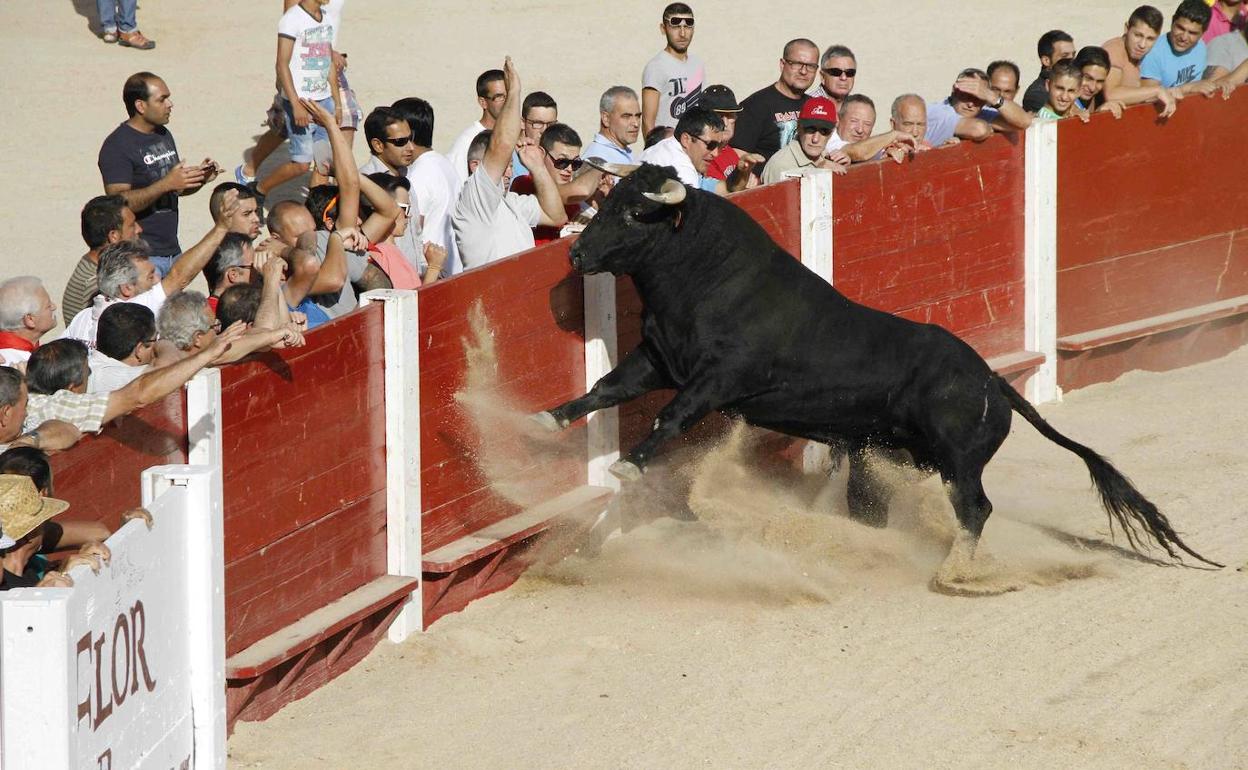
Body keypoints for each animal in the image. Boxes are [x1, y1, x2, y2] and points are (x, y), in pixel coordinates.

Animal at [531, 162, 1213, 574]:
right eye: (605, 203)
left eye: (631, 213)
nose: (575, 253)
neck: (706, 278)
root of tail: (990, 379)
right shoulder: (657, 359)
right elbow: (604, 389)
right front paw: (545, 419)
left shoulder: (716, 380)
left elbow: (669, 419)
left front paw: (627, 463)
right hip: (885, 456)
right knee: (881, 506)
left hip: (958, 461)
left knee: (975, 509)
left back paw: (956, 572)